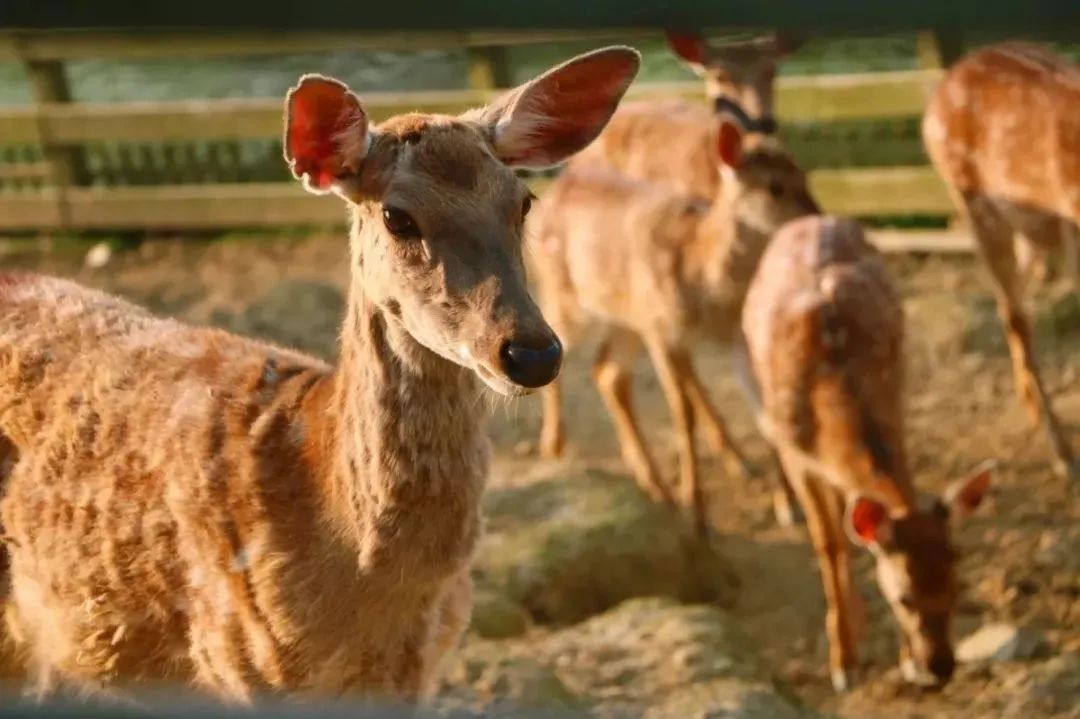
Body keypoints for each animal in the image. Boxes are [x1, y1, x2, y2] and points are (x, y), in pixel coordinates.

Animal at [531, 112, 816, 535]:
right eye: (774, 187)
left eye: (804, 174)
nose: (817, 217)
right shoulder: (664, 331)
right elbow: (683, 416)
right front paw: (695, 511)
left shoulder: (734, 335)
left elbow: (763, 406)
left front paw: (789, 505)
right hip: (567, 298)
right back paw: (554, 445)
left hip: (627, 320)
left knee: (608, 373)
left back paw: (655, 483)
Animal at [734, 212, 993, 690]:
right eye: (904, 597)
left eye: (958, 582)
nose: (941, 667)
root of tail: (812, 218)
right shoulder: (797, 457)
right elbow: (829, 544)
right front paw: (843, 663)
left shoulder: (895, 407)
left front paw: (904, 661)